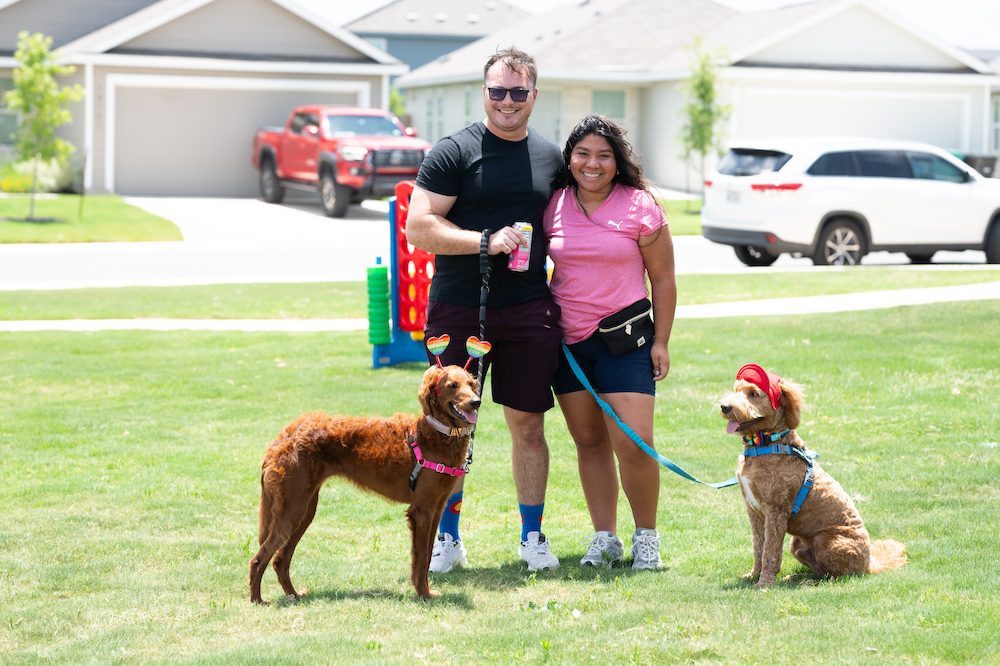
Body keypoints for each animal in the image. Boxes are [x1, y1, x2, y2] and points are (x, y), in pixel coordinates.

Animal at [252, 364, 482, 600]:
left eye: (471, 384)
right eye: (452, 385)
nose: (476, 401)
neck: (438, 433)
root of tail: (282, 438)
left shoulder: (436, 508)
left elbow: (426, 556)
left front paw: (425, 592)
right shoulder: (421, 510)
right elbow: (420, 561)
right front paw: (424, 595)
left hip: (304, 511)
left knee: (280, 560)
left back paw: (294, 595)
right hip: (292, 509)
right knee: (259, 560)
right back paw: (257, 600)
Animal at [720, 364, 908, 588]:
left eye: (754, 394)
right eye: (737, 390)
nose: (724, 407)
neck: (766, 445)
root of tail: (870, 564)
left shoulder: (776, 511)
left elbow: (770, 551)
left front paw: (764, 582)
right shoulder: (754, 511)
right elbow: (759, 546)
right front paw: (753, 575)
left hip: (827, 541)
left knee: (838, 577)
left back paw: (810, 583)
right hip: (797, 544)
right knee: (821, 571)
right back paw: (797, 577)